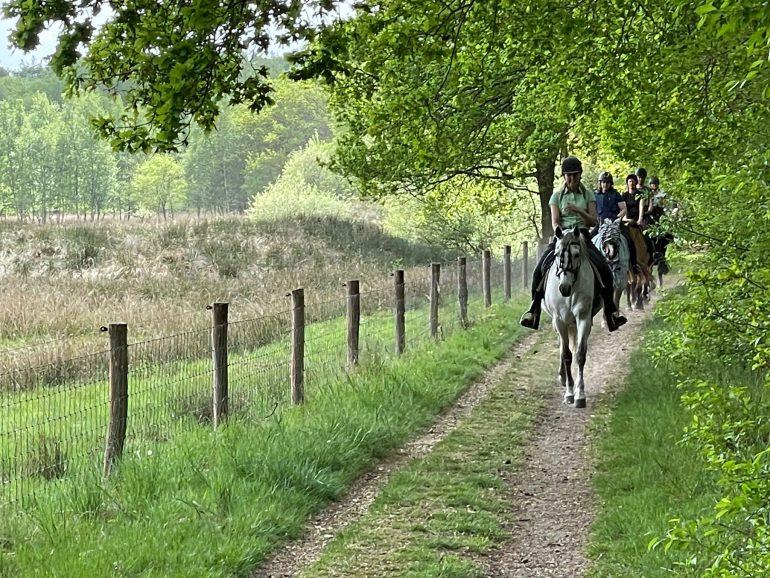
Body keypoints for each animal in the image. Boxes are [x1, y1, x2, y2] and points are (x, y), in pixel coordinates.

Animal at [540, 223, 600, 408]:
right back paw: (562, 376)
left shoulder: (583, 318)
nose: (563, 288)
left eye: (576, 254)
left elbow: (579, 354)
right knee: (562, 346)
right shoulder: (559, 321)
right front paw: (569, 393)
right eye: (557, 254)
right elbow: (566, 355)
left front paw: (580, 395)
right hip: (558, 323)